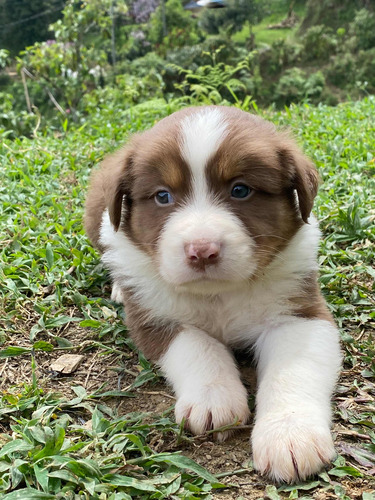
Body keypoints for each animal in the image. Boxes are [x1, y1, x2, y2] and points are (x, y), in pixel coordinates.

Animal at [85, 106, 344, 484]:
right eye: (162, 196)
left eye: (240, 190)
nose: (202, 251)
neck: (219, 294)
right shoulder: (153, 315)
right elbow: (197, 345)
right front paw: (213, 398)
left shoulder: (299, 313)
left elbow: (293, 369)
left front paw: (290, 435)